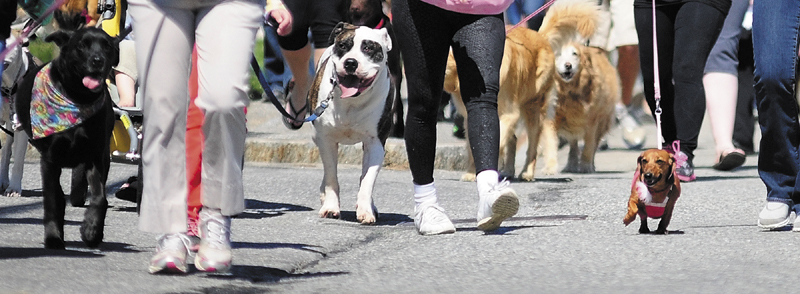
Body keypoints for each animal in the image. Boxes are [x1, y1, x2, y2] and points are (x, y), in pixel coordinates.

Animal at [15, 27, 119, 249]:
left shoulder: (97, 156)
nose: (98, 60)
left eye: (107, 46)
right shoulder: (49, 160)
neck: (78, 98)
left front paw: (91, 231)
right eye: (81, 45)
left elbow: (100, 197)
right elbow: (54, 199)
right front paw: (54, 238)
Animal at [310, 22, 394, 225]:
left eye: (369, 48)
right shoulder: (326, 140)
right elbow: (331, 175)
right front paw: (331, 207)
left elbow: (367, 179)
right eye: (342, 46)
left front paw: (366, 210)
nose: (350, 62)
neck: (352, 101)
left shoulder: (375, 143)